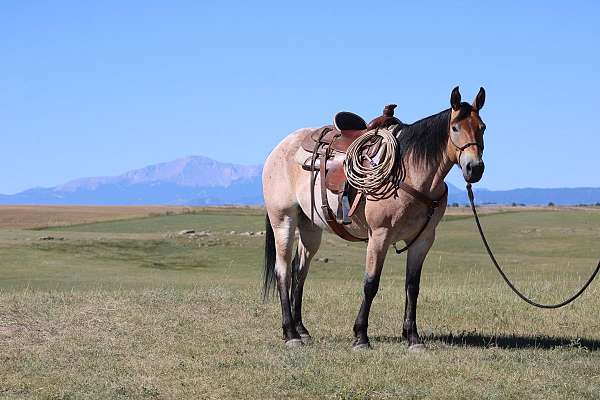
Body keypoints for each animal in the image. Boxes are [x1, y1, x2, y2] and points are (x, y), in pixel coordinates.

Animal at [260, 86, 486, 350]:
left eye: (482, 127)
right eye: (455, 128)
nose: (475, 168)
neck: (411, 172)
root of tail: (278, 150)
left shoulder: (423, 240)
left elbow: (412, 286)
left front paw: (413, 337)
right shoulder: (380, 234)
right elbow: (371, 284)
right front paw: (361, 336)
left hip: (310, 229)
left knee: (300, 271)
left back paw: (301, 330)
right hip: (283, 220)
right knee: (283, 271)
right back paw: (291, 334)